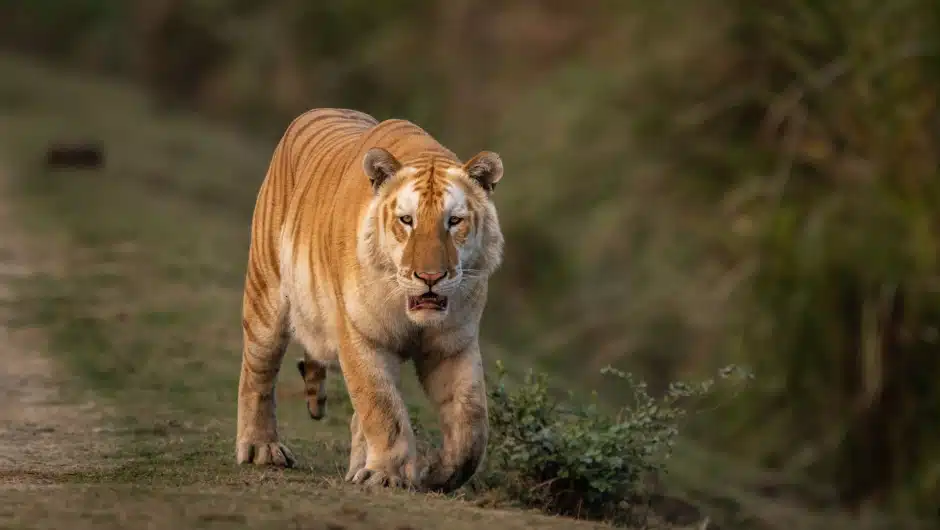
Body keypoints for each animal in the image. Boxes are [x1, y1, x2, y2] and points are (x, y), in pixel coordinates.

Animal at [235, 105, 506, 492]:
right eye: (406, 220)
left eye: (454, 222)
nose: (430, 277)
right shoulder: (360, 334)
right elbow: (381, 407)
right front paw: (387, 476)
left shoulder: (454, 344)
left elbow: (471, 423)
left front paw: (437, 473)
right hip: (266, 297)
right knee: (257, 373)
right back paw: (262, 449)